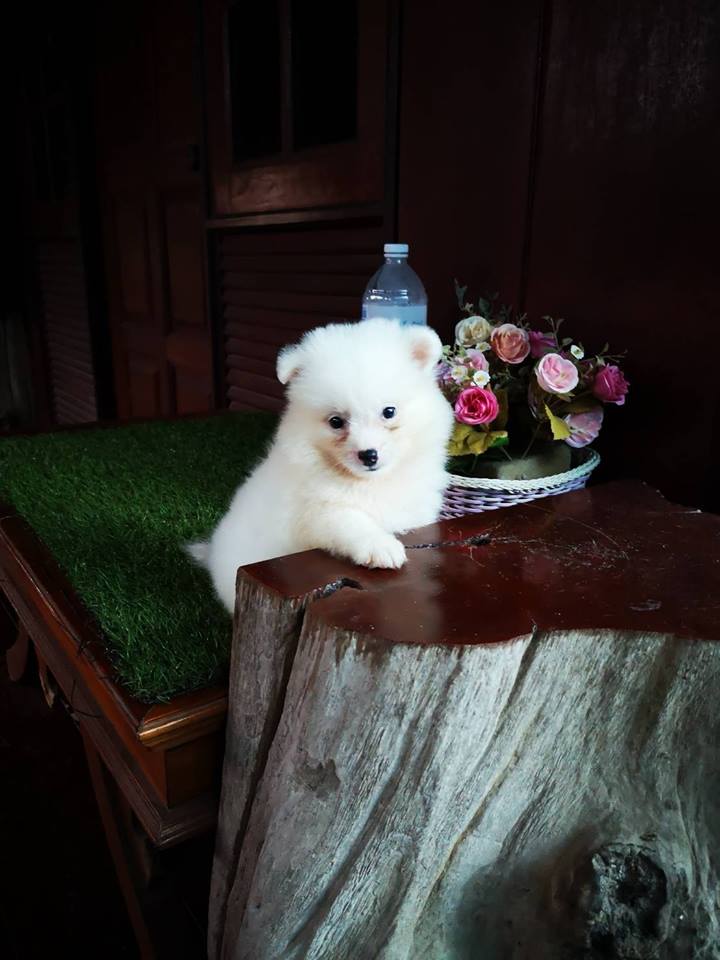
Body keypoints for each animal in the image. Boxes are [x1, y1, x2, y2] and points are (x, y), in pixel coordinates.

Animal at [188, 318, 454, 613]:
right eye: (336, 421)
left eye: (389, 412)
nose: (368, 455)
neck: (369, 483)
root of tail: (213, 552)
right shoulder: (315, 514)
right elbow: (350, 520)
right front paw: (381, 546)